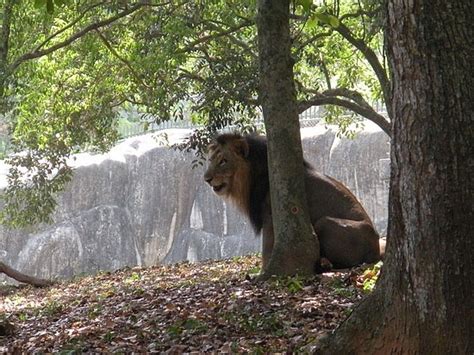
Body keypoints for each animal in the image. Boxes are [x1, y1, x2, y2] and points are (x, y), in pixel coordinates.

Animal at [202, 133, 384, 270]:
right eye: (211, 160)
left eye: (223, 161)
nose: (206, 179)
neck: (249, 178)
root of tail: (376, 247)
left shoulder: (271, 216)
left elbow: (267, 250)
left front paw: (262, 273)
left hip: (325, 222)